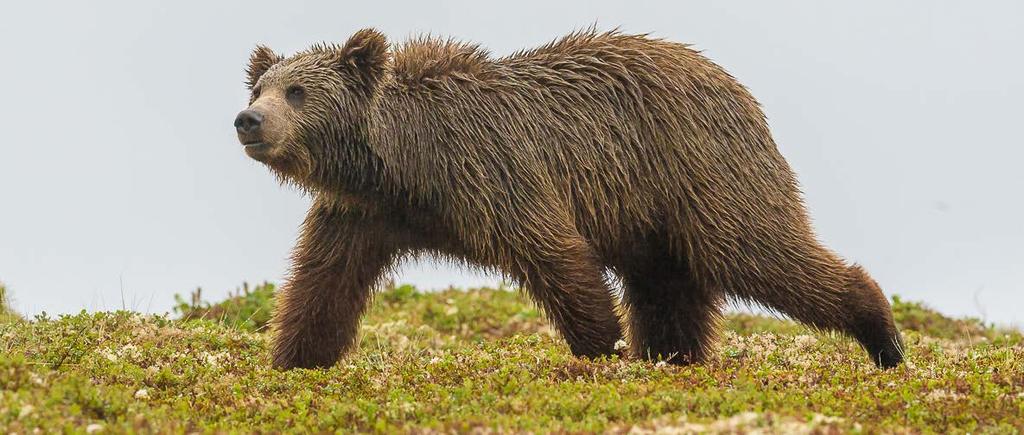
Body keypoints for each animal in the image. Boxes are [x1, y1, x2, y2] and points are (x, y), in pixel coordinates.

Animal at [234, 27, 905, 368]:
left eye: (297, 91)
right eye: (262, 85)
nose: (248, 120)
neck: (402, 162)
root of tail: (738, 89)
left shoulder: (489, 170)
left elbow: (553, 250)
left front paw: (600, 346)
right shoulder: (362, 212)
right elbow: (322, 283)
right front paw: (293, 358)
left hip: (698, 170)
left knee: (757, 250)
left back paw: (883, 335)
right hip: (651, 216)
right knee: (668, 287)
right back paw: (673, 355)